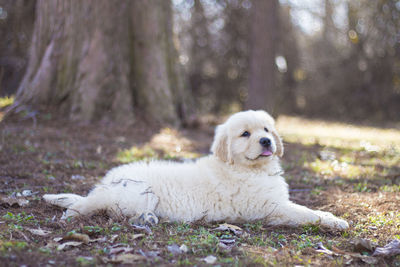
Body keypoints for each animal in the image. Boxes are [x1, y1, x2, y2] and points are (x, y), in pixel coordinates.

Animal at [43, 110, 348, 230]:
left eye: (266, 129)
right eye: (245, 134)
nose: (266, 141)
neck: (248, 168)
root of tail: (107, 182)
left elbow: (307, 209)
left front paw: (332, 216)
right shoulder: (272, 207)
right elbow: (306, 213)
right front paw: (336, 221)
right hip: (140, 191)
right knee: (105, 209)